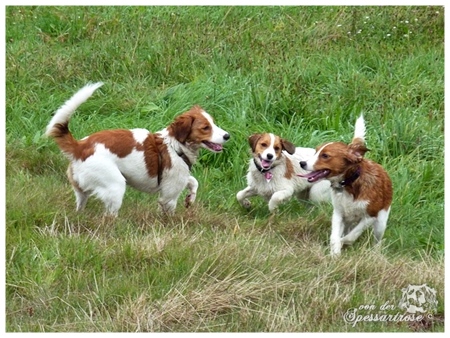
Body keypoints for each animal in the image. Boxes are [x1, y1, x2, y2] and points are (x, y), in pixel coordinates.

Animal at [46, 82, 230, 217]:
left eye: (213, 124)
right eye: (205, 128)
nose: (227, 135)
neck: (175, 146)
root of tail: (81, 146)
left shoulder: (178, 179)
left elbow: (193, 181)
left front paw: (190, 198)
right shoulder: (169, 195)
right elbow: (168, 212)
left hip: (82, 191)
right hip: (116, 186)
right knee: (109, 217)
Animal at [298, 116, 394, 256]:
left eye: (325, 155)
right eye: (316, 152)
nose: (302, 163)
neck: (349, 185)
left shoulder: (370, 216)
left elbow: (351, 236)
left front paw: (342, 243)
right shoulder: (338, 213)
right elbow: (335, 236)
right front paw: (335, 253)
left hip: (380, 223)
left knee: (377, 241)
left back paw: (375, 253)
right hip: (349, 219)